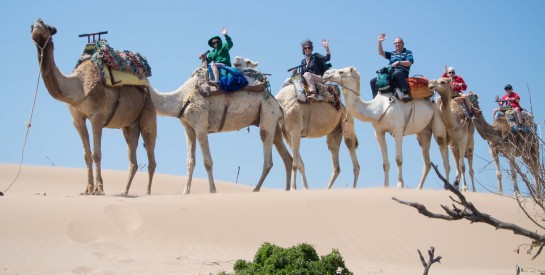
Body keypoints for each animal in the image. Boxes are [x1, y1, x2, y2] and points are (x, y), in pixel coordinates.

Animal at [31, 18, 156, 196]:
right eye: (31, 27)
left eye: (48, 27)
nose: (37, 24)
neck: (79, 87)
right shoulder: (77, 119)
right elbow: (86, 154)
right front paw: (87, 189)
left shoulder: (97, 116)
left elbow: (96, 153)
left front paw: (99, 189)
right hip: (129, 126)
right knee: (133, 159)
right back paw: (124, 191)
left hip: (148, 110)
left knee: (150, 149)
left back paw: (147, 192)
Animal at [147, 64, 294, 194]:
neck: (182, 97)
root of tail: (278, 105)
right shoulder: (188, 128)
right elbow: (190, 162)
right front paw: (185, 192)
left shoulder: (201, 125)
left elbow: (207, 162)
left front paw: (212, 190)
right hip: (274, 125)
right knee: (286, 157)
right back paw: (287, 190)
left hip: (268, 114)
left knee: (268, 157)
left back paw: (256, 189)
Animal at [320, 67, 448, 190]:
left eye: (341, 71)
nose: (325, 73)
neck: (378, 109)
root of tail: (432, 102)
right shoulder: (379, 132)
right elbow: (385, 163)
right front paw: (386, 186)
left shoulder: (398, 130)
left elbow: (398, 159)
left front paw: (400, 185)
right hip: (423, 132)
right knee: (427, 162)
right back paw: (419, 189)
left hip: (437, 118)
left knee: (444, 154)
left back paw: (448, 187)